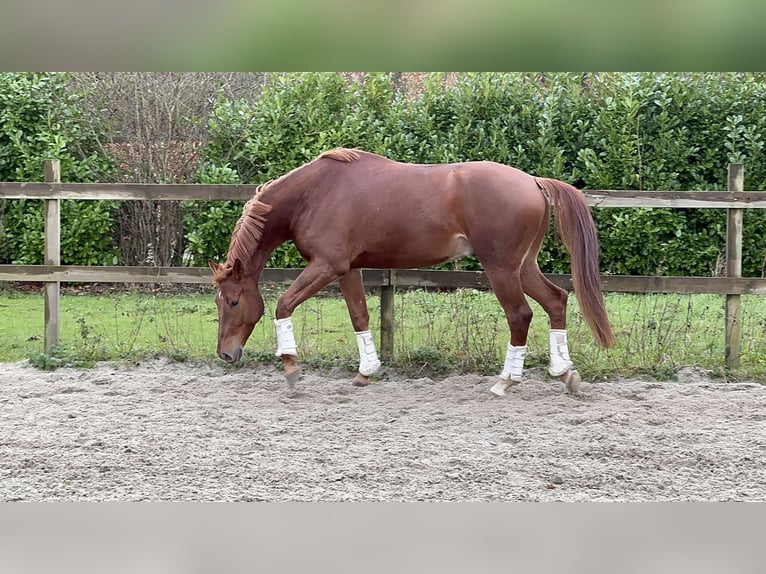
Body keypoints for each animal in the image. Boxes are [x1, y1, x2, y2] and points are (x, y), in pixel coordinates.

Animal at [207, 150, 616, 396]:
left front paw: (291, 369)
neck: (313, 194)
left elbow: (283, 305)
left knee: (521, 314)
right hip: (524, 266)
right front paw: (366, 371)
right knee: (556, 300)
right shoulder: (347, 270)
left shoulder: (325, 266)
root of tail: (533, 181)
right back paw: (564, 371)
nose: (225, 354)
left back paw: (505, 381)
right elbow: (359, 316)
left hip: (501, 268)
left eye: (233, 301)